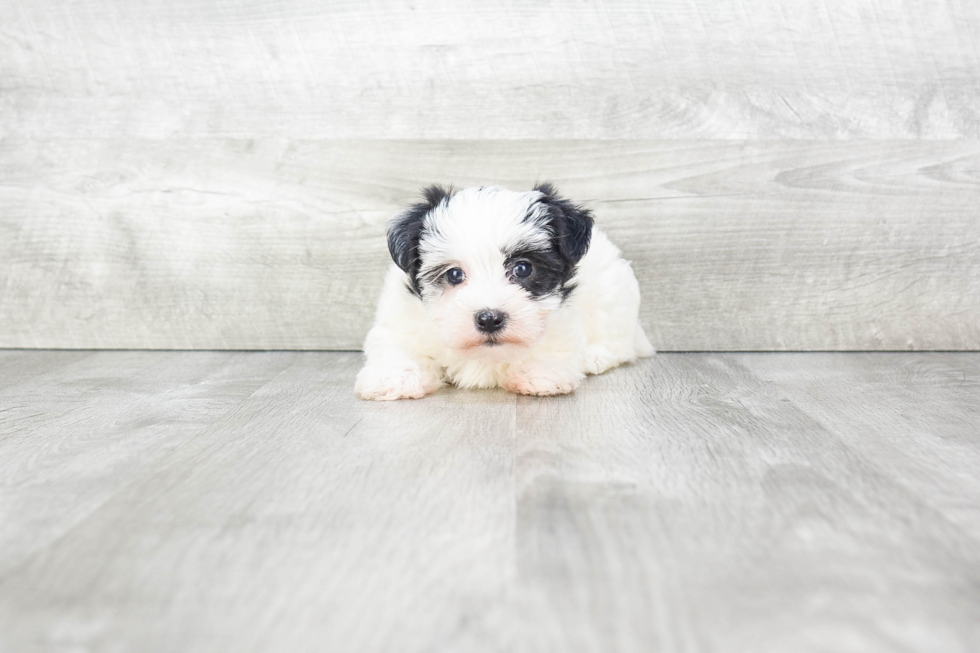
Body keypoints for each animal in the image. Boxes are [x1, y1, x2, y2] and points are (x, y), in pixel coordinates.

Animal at [356, 181, 656, 400]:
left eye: (522, 269)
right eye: (454, 274)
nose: (489, 319)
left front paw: (539, 373)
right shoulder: (403, 319)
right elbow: (400, 346)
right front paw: (395, 377)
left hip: (612, 296)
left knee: (619, 342)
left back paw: (595, 356)